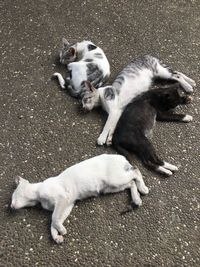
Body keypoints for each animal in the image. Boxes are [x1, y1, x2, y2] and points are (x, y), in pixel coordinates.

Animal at [10, 155, 148, 245]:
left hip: (114, 179)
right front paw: (57, 237)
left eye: (13, 196)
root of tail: (121, 156)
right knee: (131, 183)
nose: (10, 206)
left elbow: (53, 218)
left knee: (136, 171)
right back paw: (136, 199)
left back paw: (143, 188)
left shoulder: (62, 198)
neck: (38, 194)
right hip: (110, 187)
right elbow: (54, 221)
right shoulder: (67, 205)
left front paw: (61, 231)